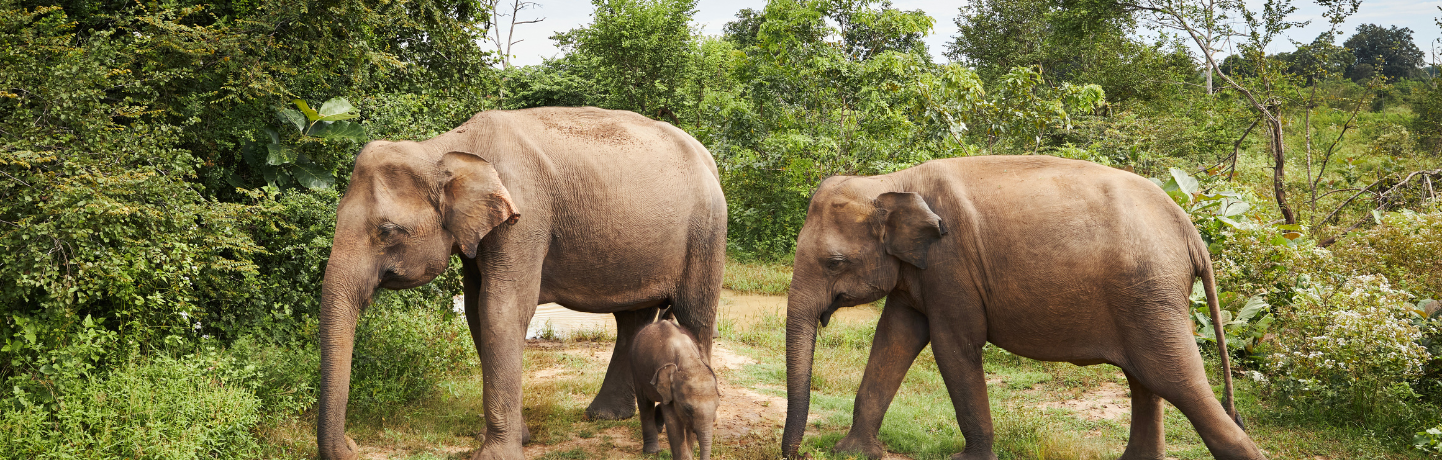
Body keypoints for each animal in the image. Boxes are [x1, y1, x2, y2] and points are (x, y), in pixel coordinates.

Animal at [631, 310, 721, 460]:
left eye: (717, 406)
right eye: (687, 409)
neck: (689, 361)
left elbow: (688, 427)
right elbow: (674, 424)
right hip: (636, 369)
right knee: (645, 404)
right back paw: (651, 451)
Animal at [778, 155, 1263, 460]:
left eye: (834, 262)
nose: (793, 455)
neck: (889, 182)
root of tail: (1190, 228)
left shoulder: (952, 267)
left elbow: (953, 346)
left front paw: (968, 459)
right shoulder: (919, 273)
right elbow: (894, 339)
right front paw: (852, 453)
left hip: (1149, 291)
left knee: (1175, 379)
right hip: (1145, 297)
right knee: (1146, 378)